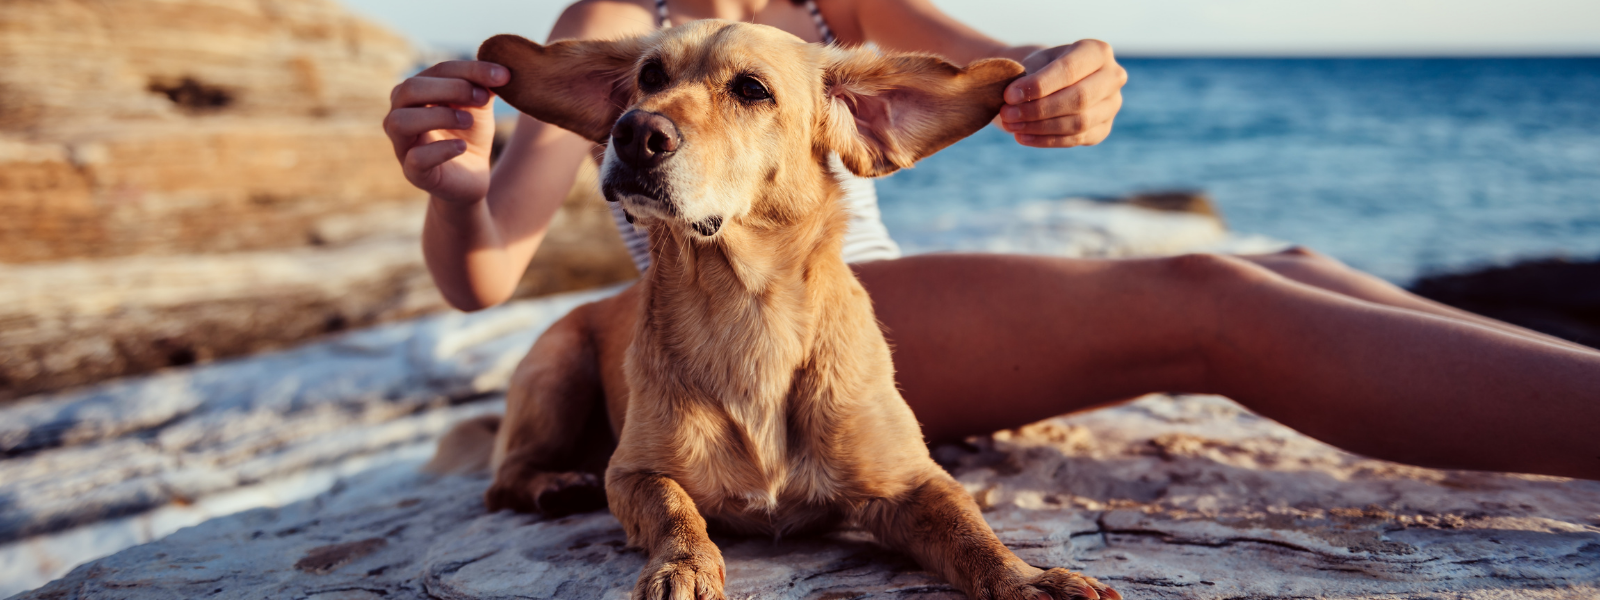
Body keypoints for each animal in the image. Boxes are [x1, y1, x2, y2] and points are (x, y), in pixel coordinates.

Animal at [432, 21, 1120, 600]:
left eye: (751, 89)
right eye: (650, 75)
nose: (633, 131)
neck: (748, 310)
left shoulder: (913, 482)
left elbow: (970, 532)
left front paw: (1028, 578)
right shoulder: (630, 474)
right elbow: (675, 509)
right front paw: (684, 565)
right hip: (558, 364)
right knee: (503, 479)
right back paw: (554, 485)